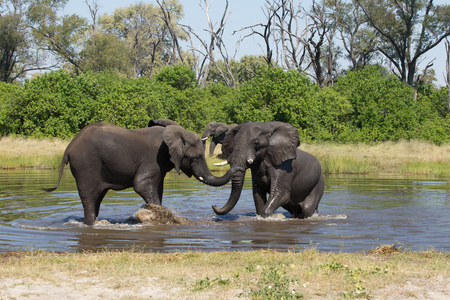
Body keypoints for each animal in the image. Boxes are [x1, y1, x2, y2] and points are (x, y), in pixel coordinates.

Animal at [45, 122, 241, 225]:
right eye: (196, 157)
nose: (213, 205)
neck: (177, 133)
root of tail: (69, 146)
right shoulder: (152, 159)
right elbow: (142, 186)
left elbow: (158, 190)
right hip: (85, 166)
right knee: (89, 198)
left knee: (97, 198)